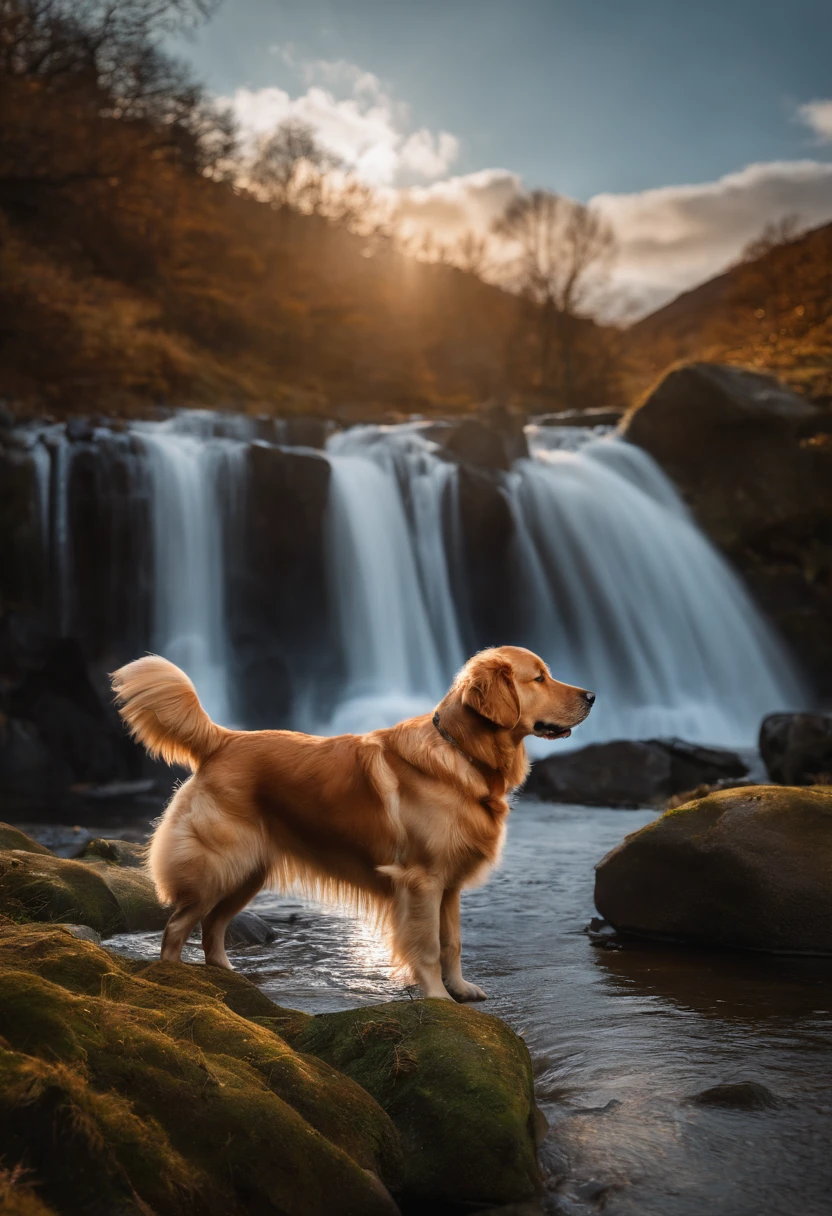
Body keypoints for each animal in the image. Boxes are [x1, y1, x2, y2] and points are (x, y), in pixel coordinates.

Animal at [111, 646, 591, 997]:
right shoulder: (421, 881)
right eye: (539, 677)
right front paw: (438, 998)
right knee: (177, 927)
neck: (462, 754)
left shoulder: (449, 884)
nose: (592, 696)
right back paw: (176, 980)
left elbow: (452, 943)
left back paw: (229, 977)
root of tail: (223, 739)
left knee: (212, 928)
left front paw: (460, 989)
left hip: (247, 872)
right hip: (218, 865)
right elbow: (427, 947)